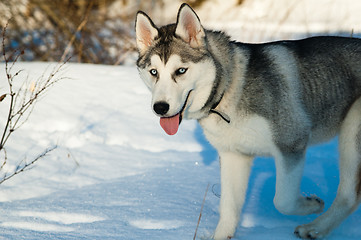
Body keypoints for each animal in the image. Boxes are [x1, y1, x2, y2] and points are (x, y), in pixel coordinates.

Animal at [134, 2, 360, 239]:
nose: (160, 107)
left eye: (180, 71)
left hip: (352, 134)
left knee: (349, 195)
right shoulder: (234, 155)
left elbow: (283, 200)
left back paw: (315, 226)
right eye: (153, 72)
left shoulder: (291, 143)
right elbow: (228, 210)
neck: (227, 90)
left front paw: (312, 204)